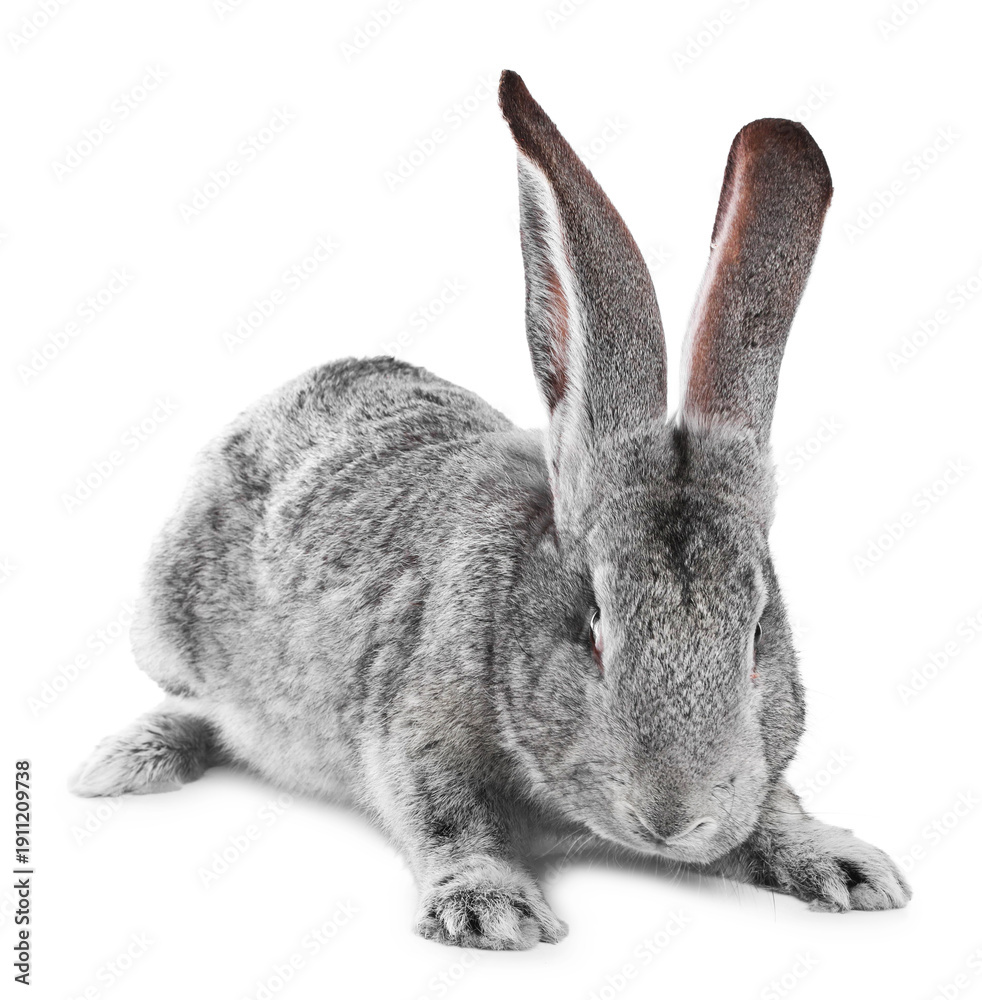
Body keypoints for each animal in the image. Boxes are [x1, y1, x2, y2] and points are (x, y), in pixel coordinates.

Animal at [70, 69, 911, 950]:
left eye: (755, 638)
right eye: (592, 629)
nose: (673, 818)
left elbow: (770, 808)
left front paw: (848, 868)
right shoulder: (415, 737)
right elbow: (450, 820)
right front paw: (491, 911)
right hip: (167, 632)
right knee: (197, 706)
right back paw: (124, 762)